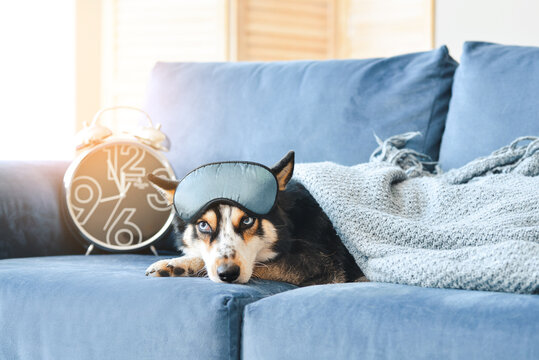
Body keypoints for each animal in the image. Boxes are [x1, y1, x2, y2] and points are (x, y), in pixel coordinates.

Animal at [146, 150, 364, 286]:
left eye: (247, 221)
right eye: (203, 225)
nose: (228, 274)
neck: (291, 224)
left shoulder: (320, 267)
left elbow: (259, 265)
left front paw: (179, 264)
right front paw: (178, 265)